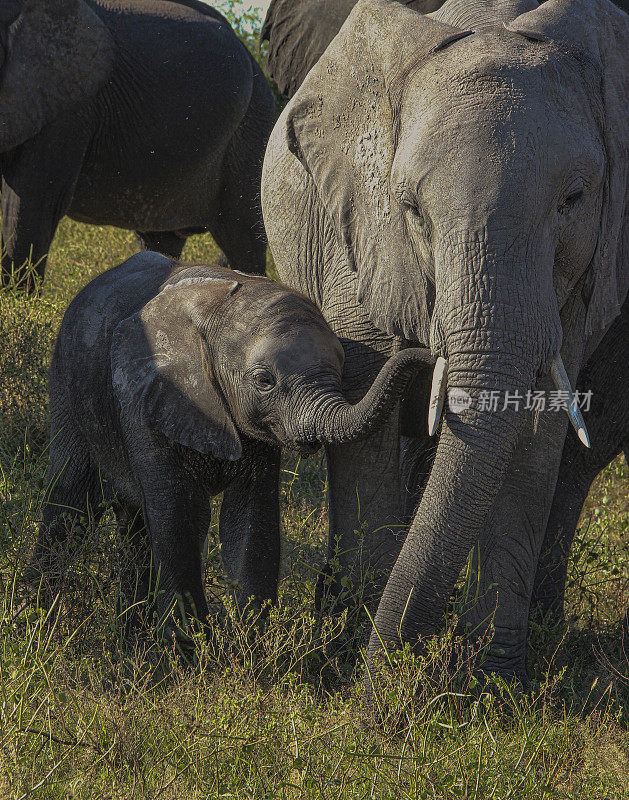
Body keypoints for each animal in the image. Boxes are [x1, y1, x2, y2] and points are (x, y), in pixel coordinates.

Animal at [29, 255, 432, 644]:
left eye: (343, 366)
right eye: (264, 381)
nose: (428, 353)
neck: (219, 305)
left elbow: (250, 522)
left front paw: (247, 653)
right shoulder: (149, 401)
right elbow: (180, 519)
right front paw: (190, 656)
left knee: (135, 529)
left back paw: (131, 646)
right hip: (65, 385)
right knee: (69, 504)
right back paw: (37, 625)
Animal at [262, 0, 628, 688]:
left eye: (573, 199)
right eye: (410, 209)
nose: (379, 691)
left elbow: (536, 430)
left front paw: (496, 683)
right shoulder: (359, 234)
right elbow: (365, 415)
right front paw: (356, 651)